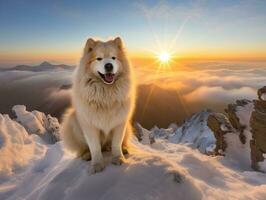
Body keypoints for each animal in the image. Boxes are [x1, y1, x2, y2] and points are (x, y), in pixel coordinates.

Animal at [60, 37, 135, 173]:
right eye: (99, 58)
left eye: (113, 58)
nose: (109, 65)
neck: (106, 95)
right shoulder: (89, 125)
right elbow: (94, 147)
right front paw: (96, 165)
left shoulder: (120, 123)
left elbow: (116, 143)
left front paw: (118, 158)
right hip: (72, 121)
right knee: (84, 148)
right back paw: (87, 155)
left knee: (116, 143)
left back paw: (124, 149)